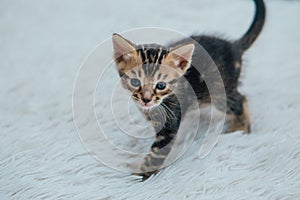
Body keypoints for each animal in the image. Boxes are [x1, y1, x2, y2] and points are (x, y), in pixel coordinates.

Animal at [112, 0, 264, 180]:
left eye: (161, 85)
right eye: (135, 82)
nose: (146, 99)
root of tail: (234, 46)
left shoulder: (170, 125)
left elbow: (156, 154)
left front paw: (143, 175)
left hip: (220, 93)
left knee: (241, 99)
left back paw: (241, 128)